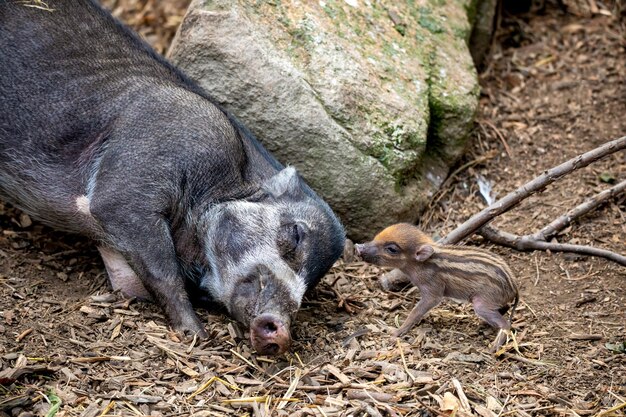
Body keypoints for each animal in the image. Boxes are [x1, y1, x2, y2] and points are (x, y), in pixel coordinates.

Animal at [0, 0, 346, 354]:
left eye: (309, 286)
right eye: (295, 236)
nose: (282, 332)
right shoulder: (134, 181)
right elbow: (161, 268)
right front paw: (197, 334)